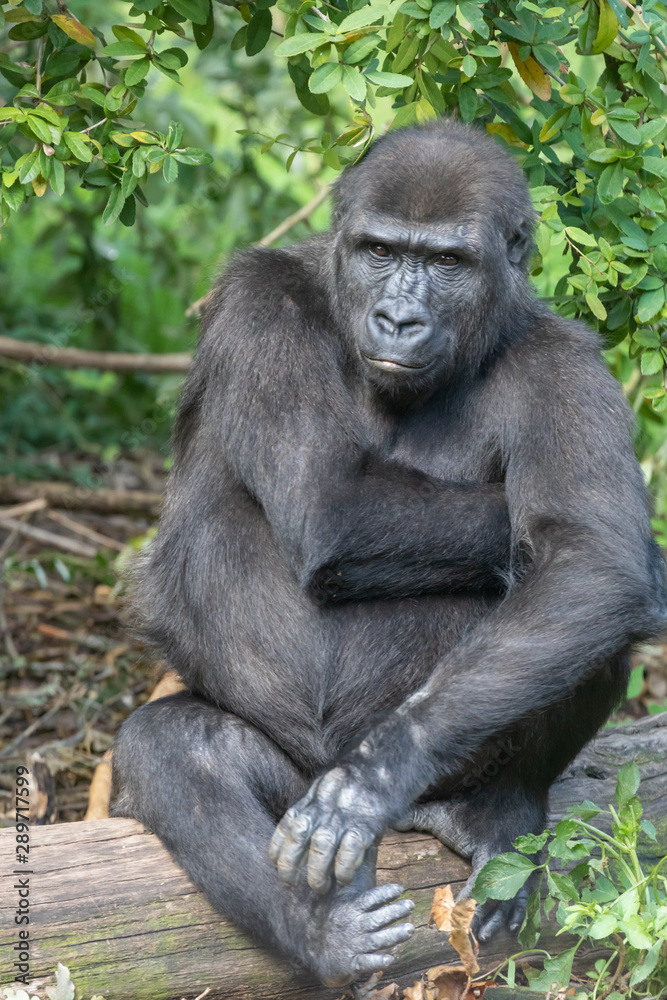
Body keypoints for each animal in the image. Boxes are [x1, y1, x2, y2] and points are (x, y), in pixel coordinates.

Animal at [112, 121, 664, 988]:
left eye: (446, 263)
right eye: (379, 251)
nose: (400, 317)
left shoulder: (569, 362)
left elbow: (594, 556)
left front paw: (376, 775)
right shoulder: (258, 300)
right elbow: (330, 502)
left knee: (583, 607)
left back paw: (495, 810)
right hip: (292, 780)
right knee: (180, 752)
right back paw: (320, 933)